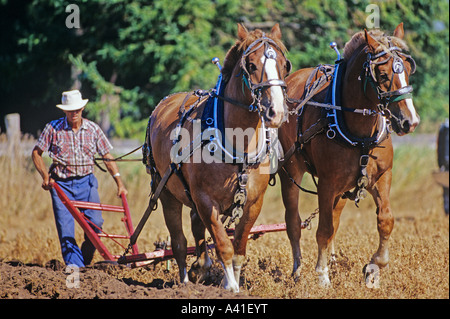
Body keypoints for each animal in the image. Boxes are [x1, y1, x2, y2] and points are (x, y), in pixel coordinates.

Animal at [145, 23, 292, 292]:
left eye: (284, 65)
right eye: (251, 65)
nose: (275, 112)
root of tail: (164, 103)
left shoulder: (253, 202)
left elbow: (239, 248)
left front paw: (230, 279)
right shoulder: (205, 200)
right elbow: (223, 244)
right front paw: (230, 286)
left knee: (195, 226)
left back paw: (200, 267)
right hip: (167, 190)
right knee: (179, 241)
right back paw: (185, 281)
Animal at [280, 23, 420, 286]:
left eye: (407, 70)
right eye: (382, 75)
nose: (410, 121)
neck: (360, 135)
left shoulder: (381, 176)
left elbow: (386, 220)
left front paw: (374, 266)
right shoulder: (327, 184)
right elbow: (323, 230)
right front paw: (322, 276)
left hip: (343, 188)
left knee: (334, 220)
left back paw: (333, 262)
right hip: (290, 172)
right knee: (293, 223)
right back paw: (297, 270)